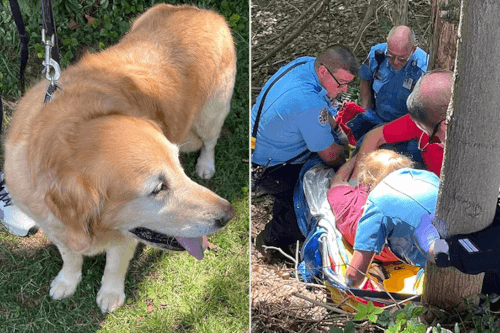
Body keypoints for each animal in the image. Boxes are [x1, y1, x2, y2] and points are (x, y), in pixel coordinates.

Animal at [2, 3, 236, 312]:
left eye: (178, 168)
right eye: (158, 189)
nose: (229, 215)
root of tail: (202, 11)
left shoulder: (126, 236)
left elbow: (114, 265)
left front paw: (110, 294)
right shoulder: (53, 224)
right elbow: (70, 255)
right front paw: (67, 281)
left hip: (213, 112)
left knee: (210, 140)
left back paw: (206, 164)